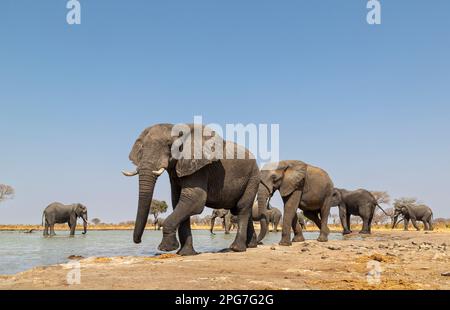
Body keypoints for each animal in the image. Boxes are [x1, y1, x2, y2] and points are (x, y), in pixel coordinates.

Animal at [122, 122, 260, 256]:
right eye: (141, 148)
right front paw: (185, 253)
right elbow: (179, 202)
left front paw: (166, 248)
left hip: (252, 177)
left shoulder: (199, 168)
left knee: (242, 208)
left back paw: (236, 248)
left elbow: (194, 200)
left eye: (169, 145)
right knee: (242, 209)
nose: (138, 241)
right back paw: (251, 245)